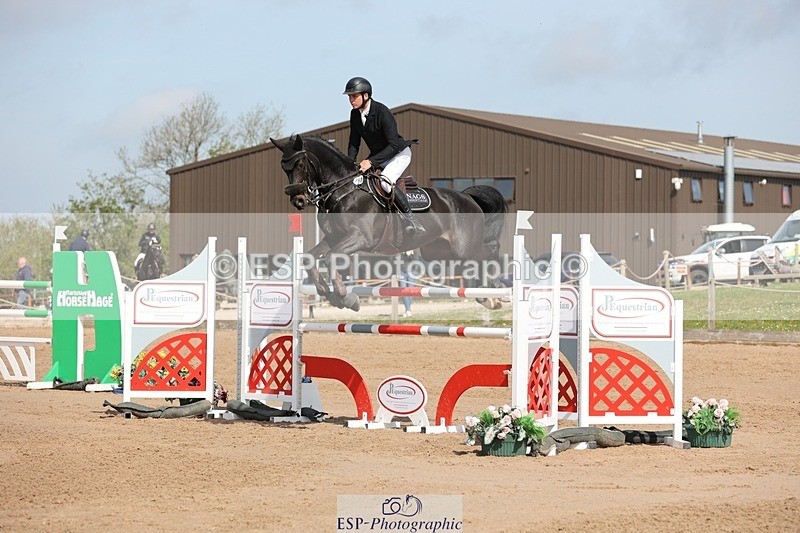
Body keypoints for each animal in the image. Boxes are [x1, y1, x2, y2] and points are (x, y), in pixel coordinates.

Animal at [269, 134, 508, 311]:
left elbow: (330, 257)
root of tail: (468, 197)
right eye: (283, 167)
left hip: (463, 247)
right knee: (476, 260)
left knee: (489, 250)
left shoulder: (360, 238)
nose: (298, 201)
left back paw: (497, 291)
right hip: (438, 251)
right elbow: (310, 257)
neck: (344, 189)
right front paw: (327, 293)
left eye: (300, 163)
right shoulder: (334, 237)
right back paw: (488, 296)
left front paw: (345, 297)